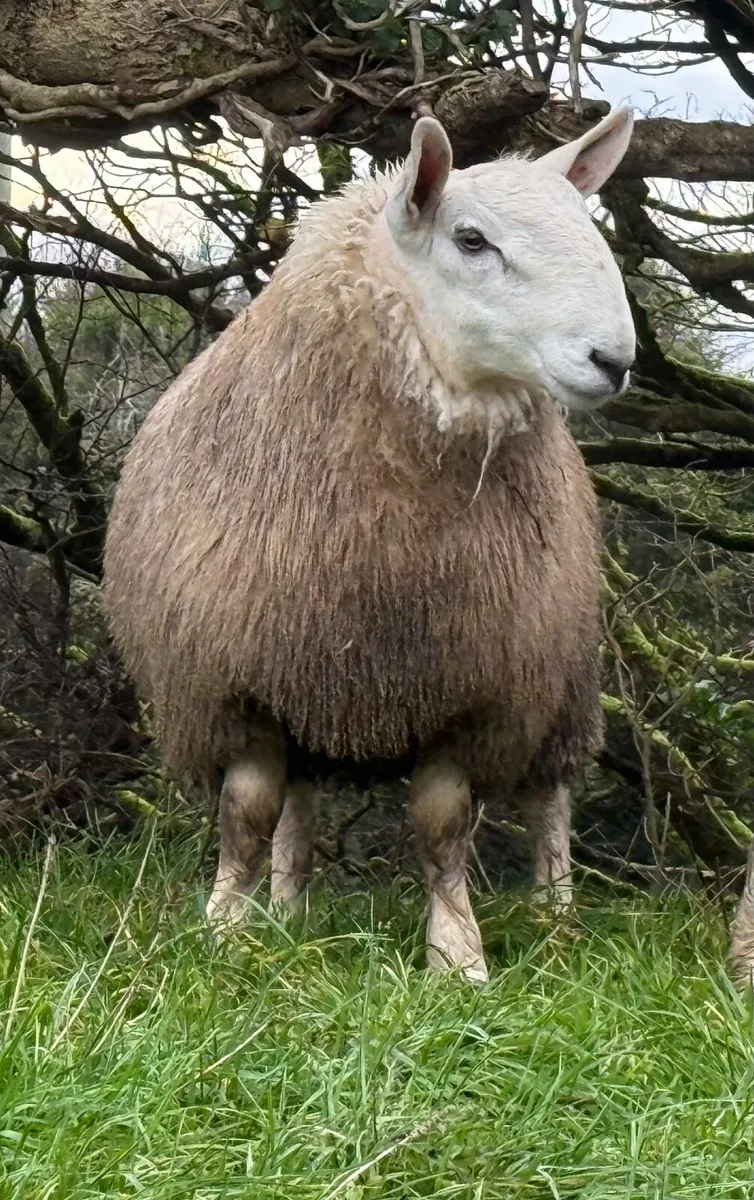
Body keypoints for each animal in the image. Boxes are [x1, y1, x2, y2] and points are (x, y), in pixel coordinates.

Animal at [102, 107, 636, 982]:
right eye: (471, 239)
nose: (615, 360)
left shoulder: (472, 691)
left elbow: (443, 826)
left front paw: (457, 957)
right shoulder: (238, 679)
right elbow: (247, 815)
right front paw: (224, 934)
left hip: (559, 678)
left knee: (549, 800)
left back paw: (556, 922)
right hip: (315, 689)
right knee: (298, 808)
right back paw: (285, 914)